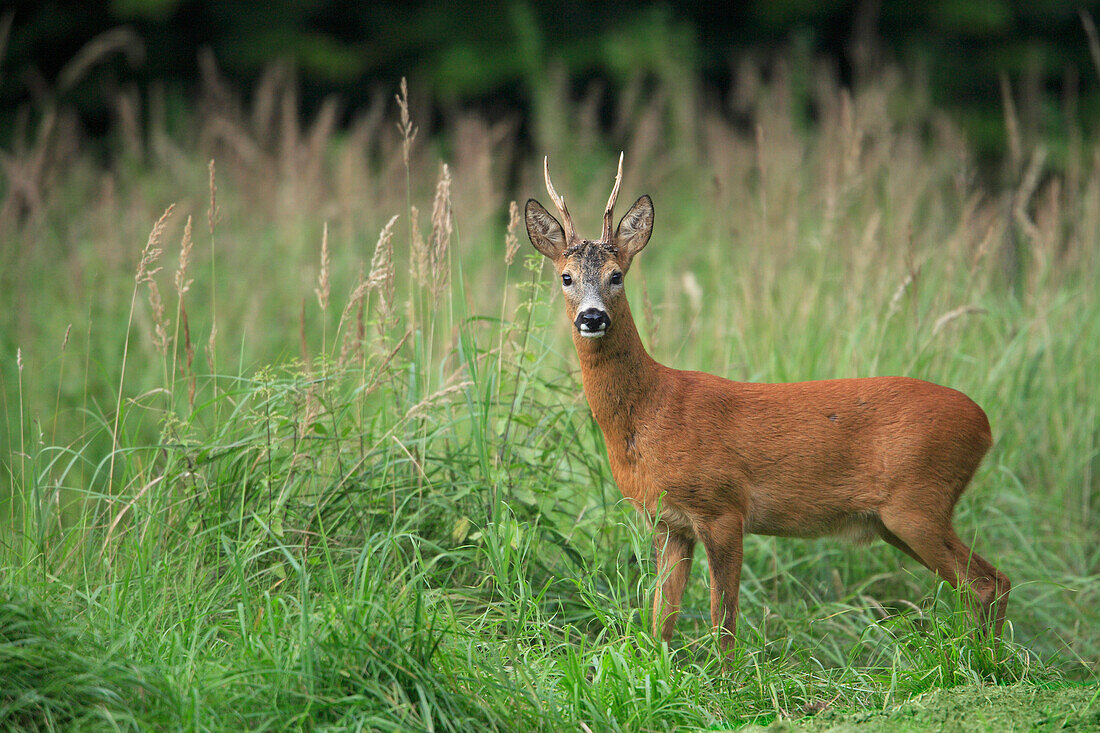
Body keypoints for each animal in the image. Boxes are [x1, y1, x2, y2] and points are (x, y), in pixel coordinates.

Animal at [528, 152, 1007, 651]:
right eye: (565, 277)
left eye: (616, 275)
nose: (592, 317)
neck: (650, 413)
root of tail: (985, 424)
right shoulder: (669, 522)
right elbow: (661, 617)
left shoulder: (723, 505)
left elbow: (723, 619)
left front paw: (724, 671)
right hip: (897, 519)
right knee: (988, 582)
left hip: (919, 502)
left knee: (988, 583)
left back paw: (986, 661)